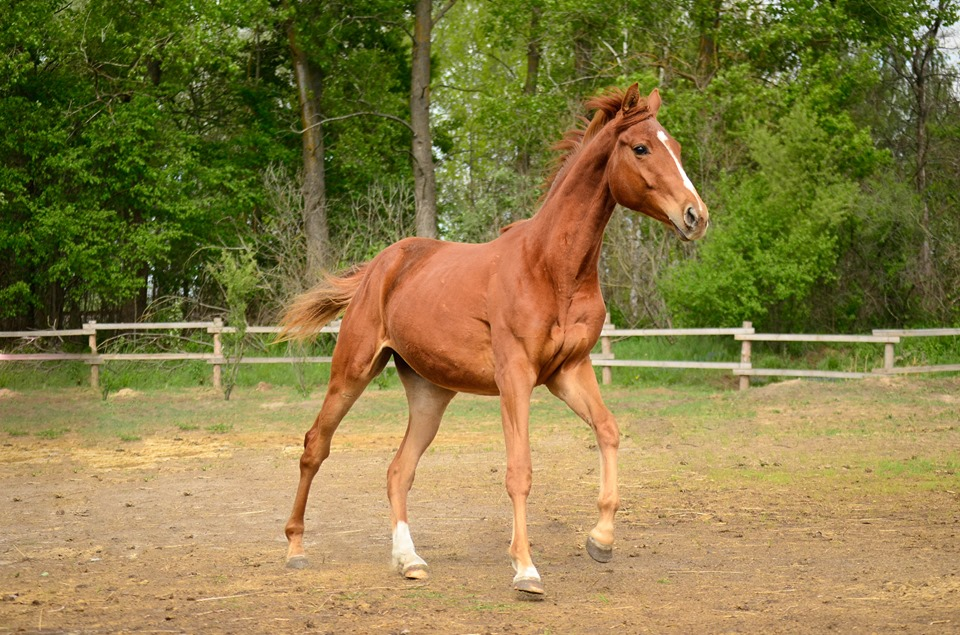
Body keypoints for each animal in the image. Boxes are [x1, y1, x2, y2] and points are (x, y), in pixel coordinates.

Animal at [278, 85, 704, 600]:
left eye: (675, 147)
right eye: (641, 148)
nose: (696, 216)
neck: (551, 267)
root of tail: (380, 266)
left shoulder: (569, 371)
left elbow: (608, 430)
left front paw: (600, 540)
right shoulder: (515, 376)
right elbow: (519, 470)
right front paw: (525, 570)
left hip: (430, 393)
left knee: (399, 469)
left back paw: (409, 561)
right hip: (353, 370)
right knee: (315, 446)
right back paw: (296, 550)